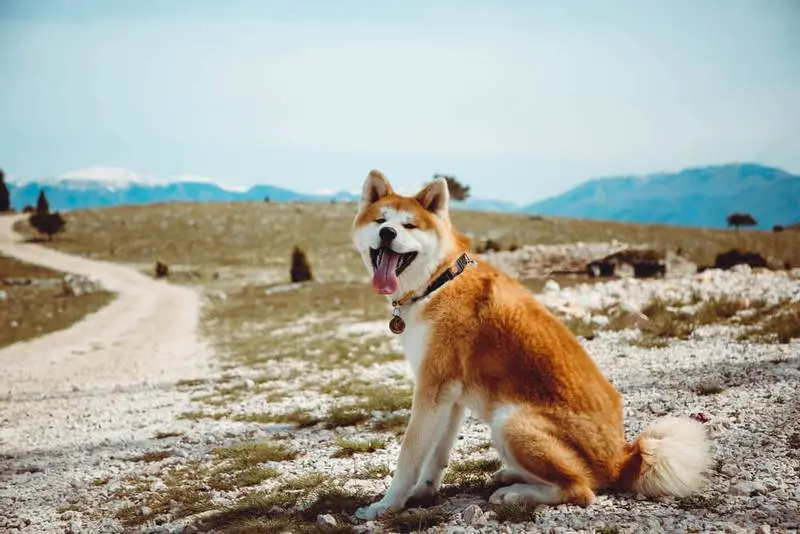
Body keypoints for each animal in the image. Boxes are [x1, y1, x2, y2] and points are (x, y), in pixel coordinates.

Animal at [352, 172, 712, 524]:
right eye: (381, 220)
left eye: (409, 225)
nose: (387, 233)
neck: (439, 280)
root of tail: (624, 460)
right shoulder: (448, 394)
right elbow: (436, 455)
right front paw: (423, 493)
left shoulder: (432, 388)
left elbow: (409, 455)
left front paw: (387, 506)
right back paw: (511, 475)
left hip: (509, 421)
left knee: (581, 489)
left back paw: (515, 493)